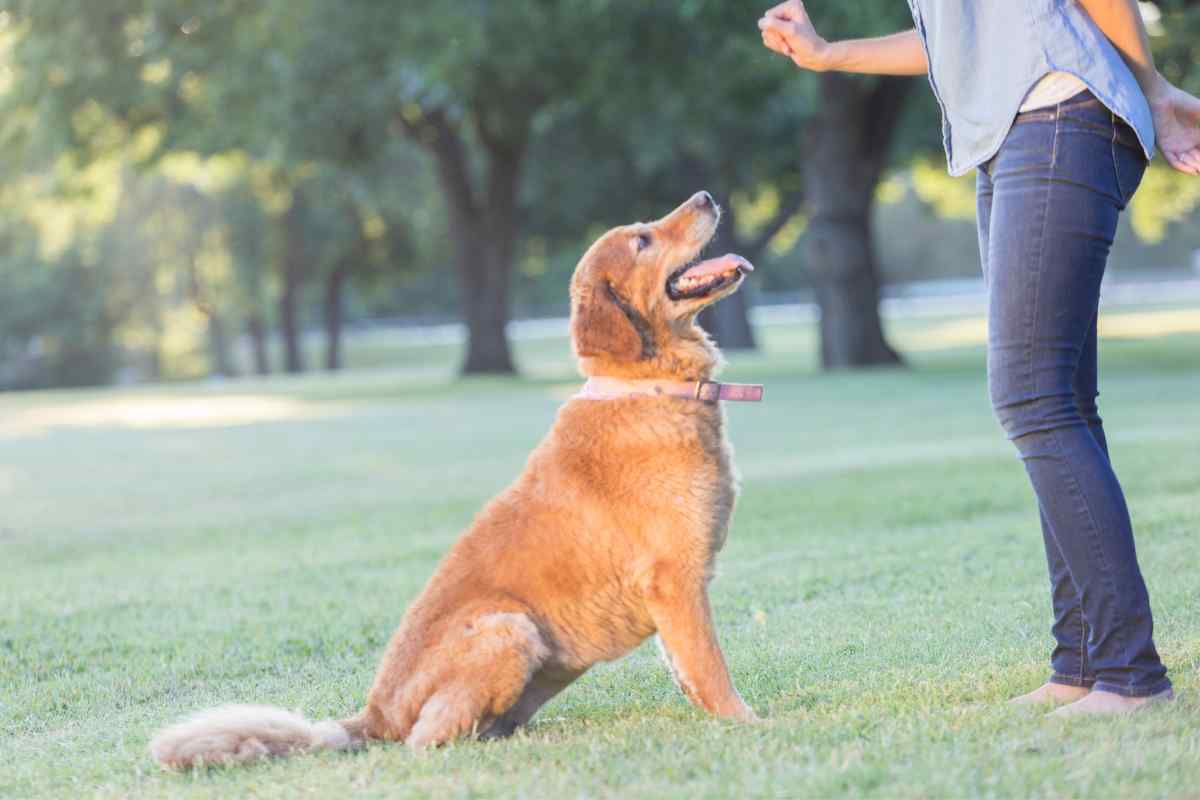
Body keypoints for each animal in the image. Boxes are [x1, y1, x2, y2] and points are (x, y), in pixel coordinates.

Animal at [152, 191, 758, 767]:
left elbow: (685, 668)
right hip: (508, 628)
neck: (648, 386)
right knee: (427, 739)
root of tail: (374, 715)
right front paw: (747, 724)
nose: (706, 196)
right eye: (642, 240)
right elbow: (710, 667)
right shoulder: (673, 580)